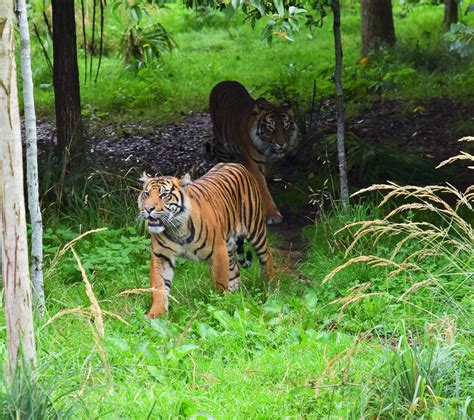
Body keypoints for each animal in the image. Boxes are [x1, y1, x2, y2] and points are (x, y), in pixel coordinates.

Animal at [138, 162, 274, 316]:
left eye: (164, 195)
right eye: (146, 194)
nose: (148, 209)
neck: (177, 228)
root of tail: (235, 164)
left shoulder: (218, 252)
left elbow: (219, 284)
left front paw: (217, 307)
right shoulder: (161, 255)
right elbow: (158, 286)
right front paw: (156, 313)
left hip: (255, 230)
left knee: (266, 257)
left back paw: (271, 288)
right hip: (229, 245)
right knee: (235, 270)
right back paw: (234, 296)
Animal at [210, 81, 298, 226]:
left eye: (286, 126)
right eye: (271, 127)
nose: (282, 144)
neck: (267, 148)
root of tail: (223, 82)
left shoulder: (268, 162)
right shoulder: (254, 163)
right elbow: (262, 187)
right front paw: (272, 214)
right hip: (222, 145)